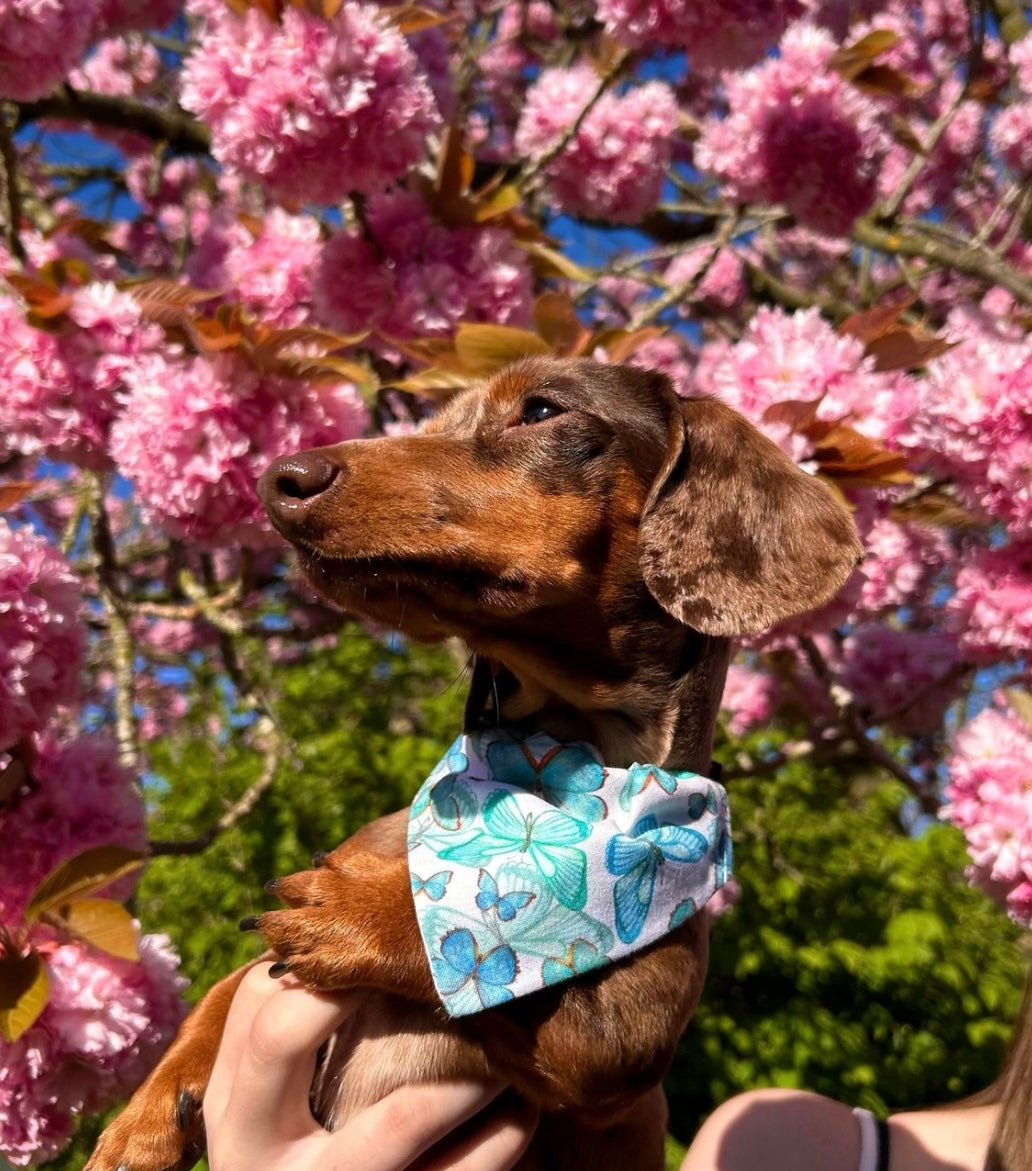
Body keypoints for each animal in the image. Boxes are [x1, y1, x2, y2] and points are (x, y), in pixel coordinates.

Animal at [90, 355, 862, 1171]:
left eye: (542, 409)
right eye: (431, 424)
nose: (276, 479)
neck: (547, 776)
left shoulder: (623, 1037)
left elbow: (476, 940)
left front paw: (363, 914)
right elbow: (228, 988)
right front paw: (142, 1120)